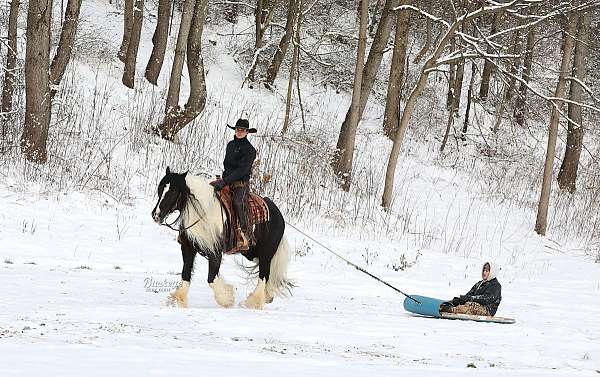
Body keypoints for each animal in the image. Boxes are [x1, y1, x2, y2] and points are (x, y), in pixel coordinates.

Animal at [150, 167, 290, 308]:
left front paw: (227, 299)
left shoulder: (215, 252)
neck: (204, 212)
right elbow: (186, 274)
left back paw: (252, 303)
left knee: (263, 275)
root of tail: (278, 214)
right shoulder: (188, 248)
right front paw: (178, 300)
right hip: (251, 253)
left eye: (172, 192)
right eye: (160, 189)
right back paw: (266, 297)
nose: (156, 215)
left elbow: (211, 278)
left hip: (266, 253)